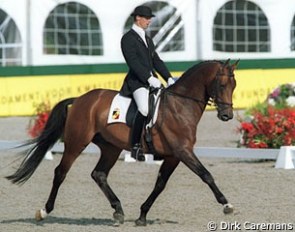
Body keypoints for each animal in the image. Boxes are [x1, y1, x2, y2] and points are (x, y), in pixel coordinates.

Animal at [5, 58, 239, 227]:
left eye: (234, 85)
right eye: (222, 84)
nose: (227, 115)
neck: (180, 105)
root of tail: (80, 99)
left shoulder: (174, 156)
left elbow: (160, 184)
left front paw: (142, 216)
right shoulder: (183, 152)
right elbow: (206, 175)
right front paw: (227, 204)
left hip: (111, 148)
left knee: (98, 174)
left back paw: (118, 211)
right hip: (76, 142)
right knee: (60, 172)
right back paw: (44, 211)